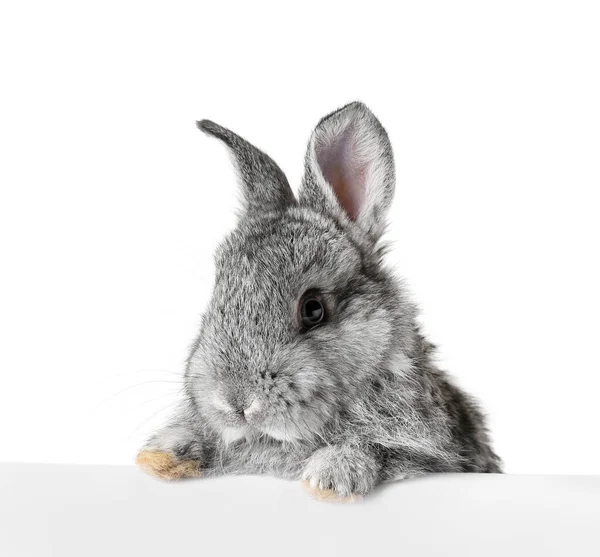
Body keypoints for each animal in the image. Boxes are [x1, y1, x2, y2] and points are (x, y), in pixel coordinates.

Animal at [137, 100, 502, 500]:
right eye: (214, 302)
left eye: (313, 309)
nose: (234, 401)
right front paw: (161, 455)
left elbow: (376, 450)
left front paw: (330, 477)